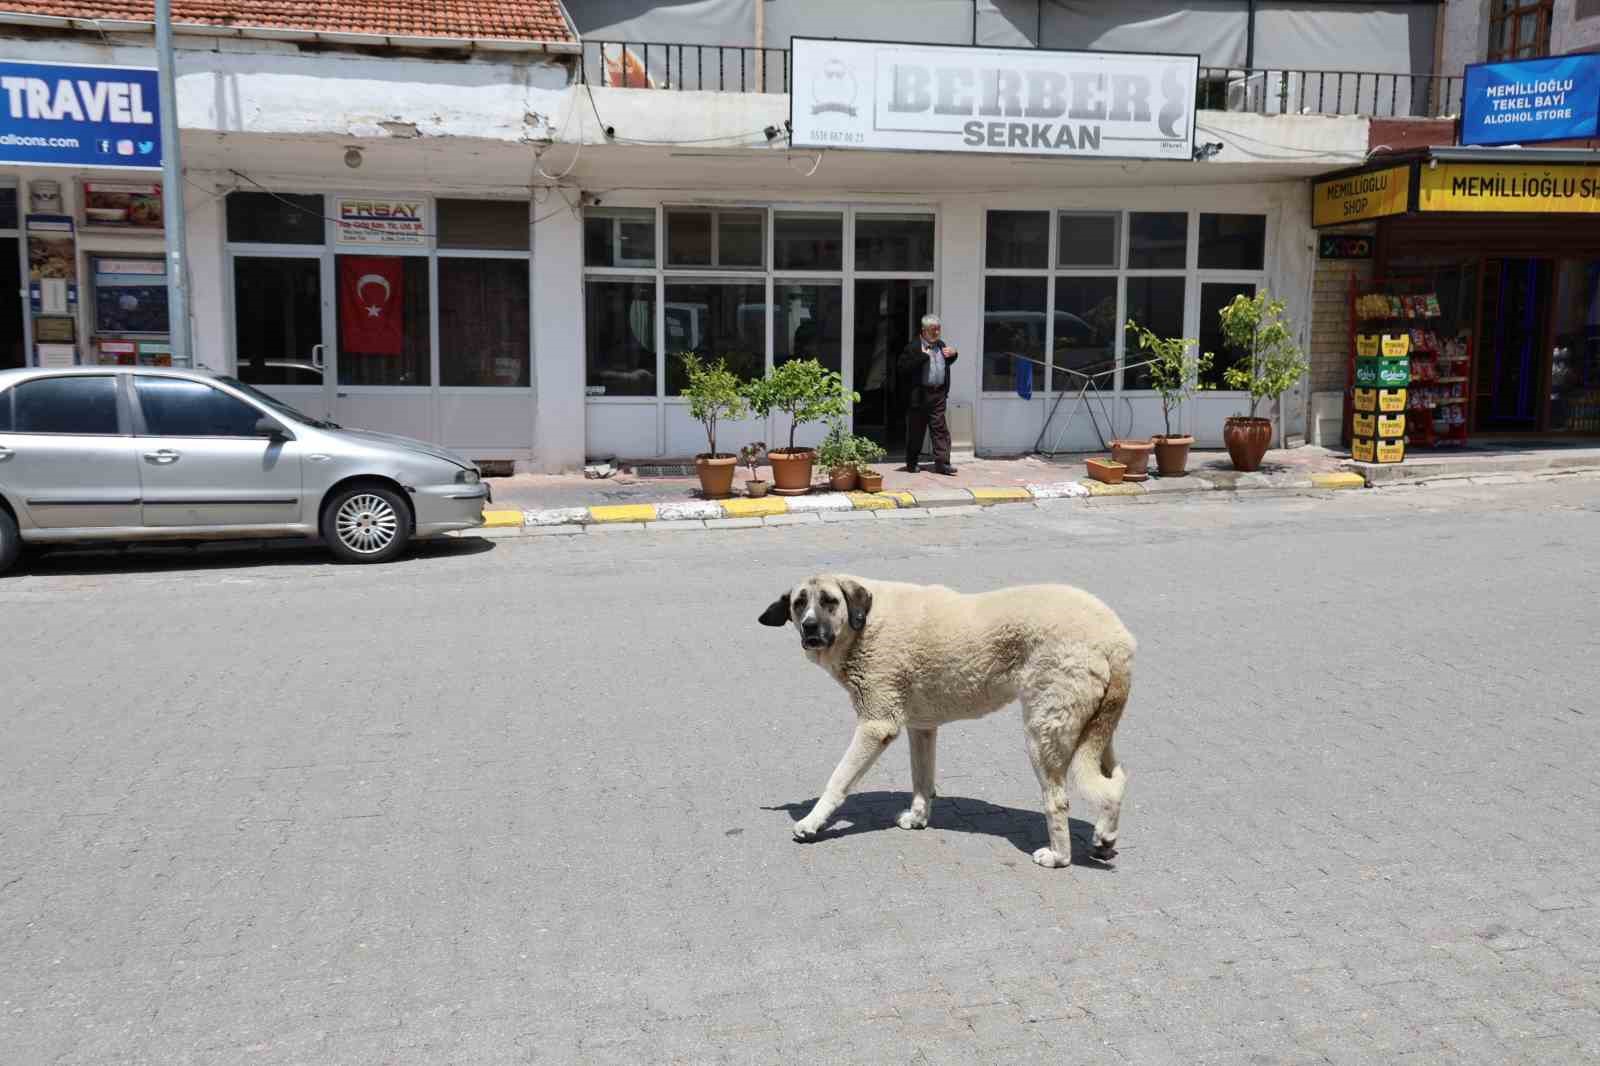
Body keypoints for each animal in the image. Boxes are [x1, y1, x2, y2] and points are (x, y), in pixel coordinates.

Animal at [761, 573, 1139, 864]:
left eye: (829, 601)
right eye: (799, 604)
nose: (809, 627)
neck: (864, 624)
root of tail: (1116, 638)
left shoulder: (875, 725)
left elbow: (838, 780)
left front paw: (812, 822)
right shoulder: (922, 728)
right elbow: (921, 780)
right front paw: (917, 818)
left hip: (1044, 734)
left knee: (1058, 801)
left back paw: (1059, 856)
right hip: (1093, 732)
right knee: (1115, 782)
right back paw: (1105, 837)